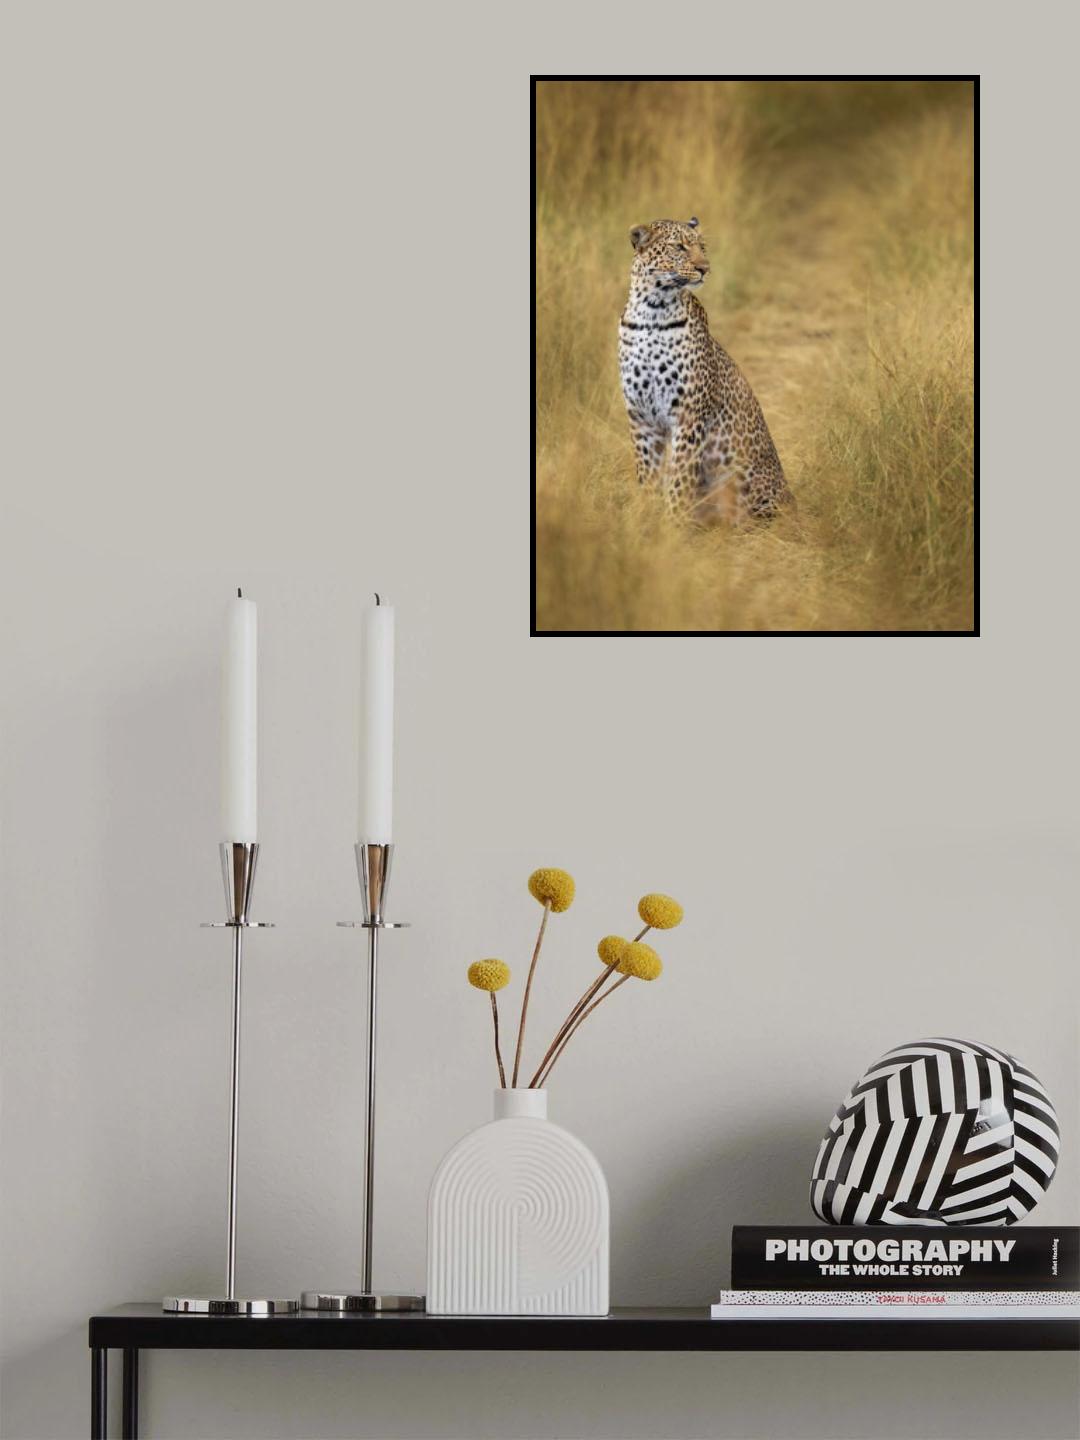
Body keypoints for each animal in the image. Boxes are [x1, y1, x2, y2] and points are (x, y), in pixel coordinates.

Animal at [618, 216, 792, 523]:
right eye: (679, 247)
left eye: (702, 247)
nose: (705, 268)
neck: (651, 312)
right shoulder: (641, 417)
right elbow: (647, 475)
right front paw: (647, 518)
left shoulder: (689, 416)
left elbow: (680, 478)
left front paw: (672, 523)